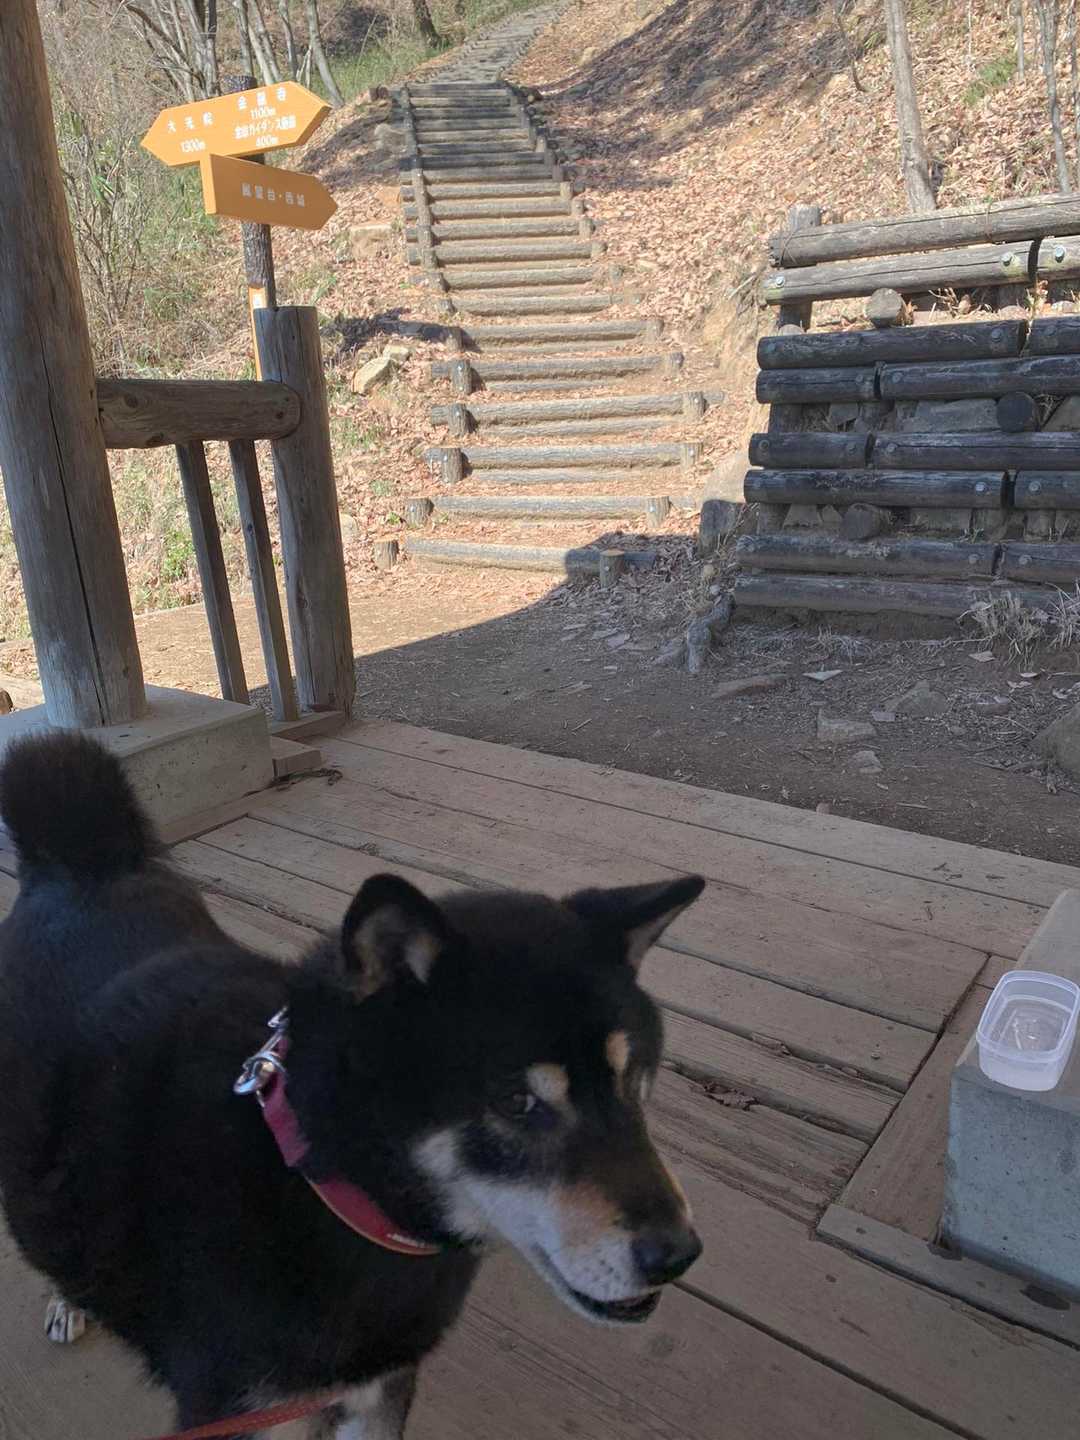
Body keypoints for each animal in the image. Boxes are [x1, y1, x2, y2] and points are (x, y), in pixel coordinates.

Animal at [0, 732, 704, 1438]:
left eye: (633, 1077)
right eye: (516, 1102)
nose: (679, 1255)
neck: (317, 1182)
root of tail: (78, 868)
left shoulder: (381, 1385)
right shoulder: (240, 1412)